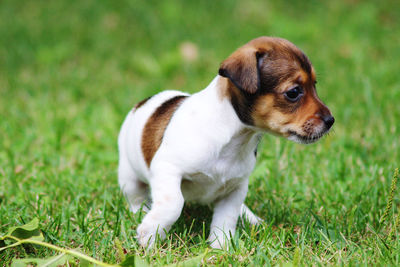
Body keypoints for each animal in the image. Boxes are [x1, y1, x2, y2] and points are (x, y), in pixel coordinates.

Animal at [116, 36, 334, 250]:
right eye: (294, 92)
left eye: (315, 85)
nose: (330, 121)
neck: (234, 139)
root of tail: (143, 103)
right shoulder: (167, 168)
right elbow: (173, 204)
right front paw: (150, 234)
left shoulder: (236, 188)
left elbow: (226, 219)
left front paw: (220, 247)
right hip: (129, 177)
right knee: (136, 197)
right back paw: (142, 212)